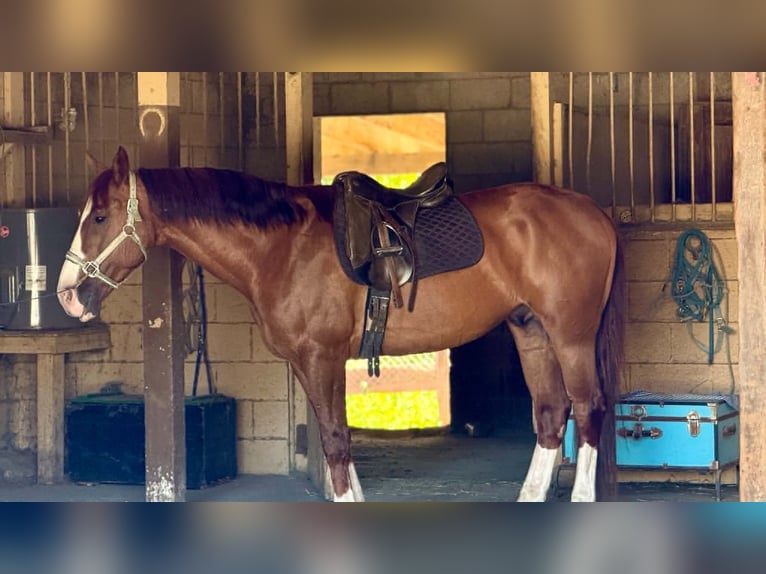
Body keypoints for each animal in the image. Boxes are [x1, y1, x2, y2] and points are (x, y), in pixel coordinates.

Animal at [57, 147, 625, 502]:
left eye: (100, 217)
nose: (67, 295)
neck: (282, 247)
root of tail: (592, 211)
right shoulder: (308, 364)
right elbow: (337, 444)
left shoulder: (321, 356)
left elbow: (334, 442)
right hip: (531, 330)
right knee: (550, 414)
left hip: (570, 335)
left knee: (587, 408)